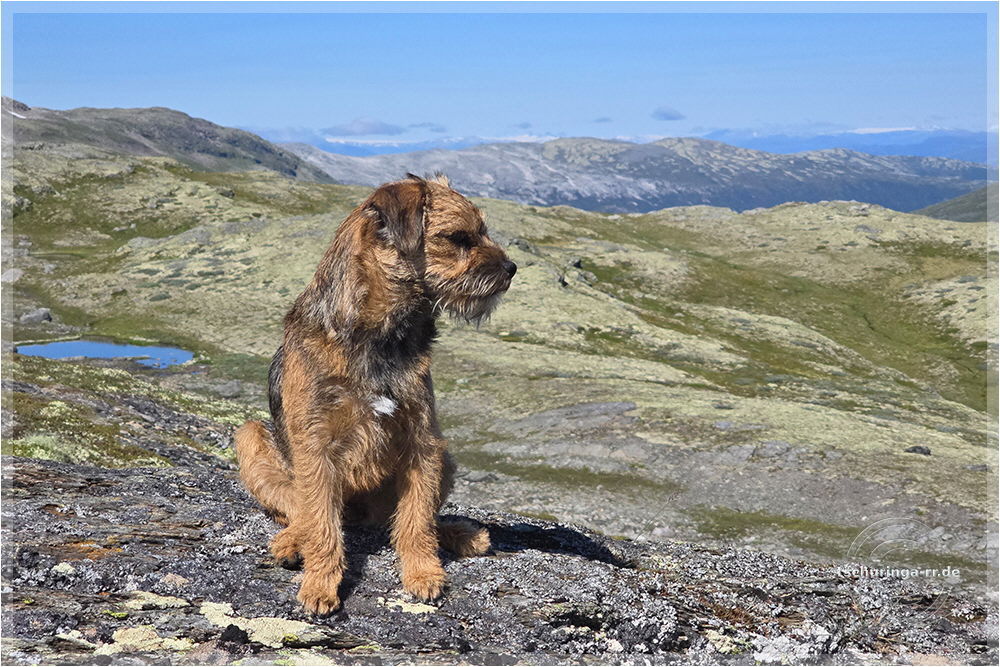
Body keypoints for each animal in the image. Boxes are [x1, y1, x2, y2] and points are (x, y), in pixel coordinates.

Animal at [234, 174, 516, 615]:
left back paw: (459, 534)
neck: (379, 334)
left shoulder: (423, 439)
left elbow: (416, 519)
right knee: (300, 512)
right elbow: (321, 522)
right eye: (458, 237)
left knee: (408, 519)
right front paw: (321, 584)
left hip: (445, 456)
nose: (511, 269)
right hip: (249, 435)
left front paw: (422, 572)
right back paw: (293, 541)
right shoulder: (316, 444)